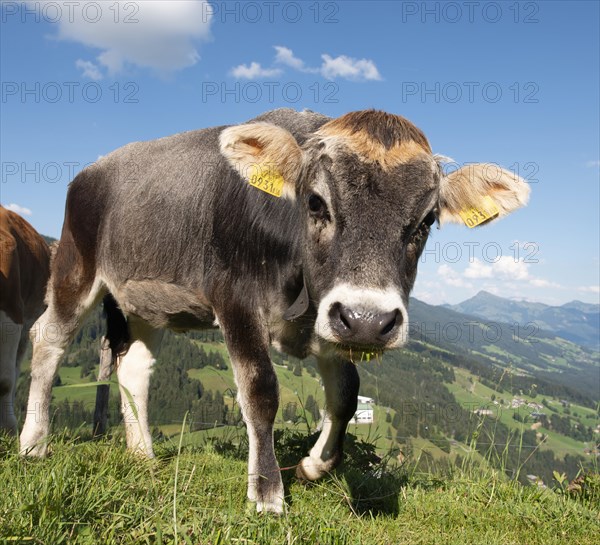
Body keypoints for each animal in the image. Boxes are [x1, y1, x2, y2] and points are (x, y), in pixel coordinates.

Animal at [18, 108, 528, 512]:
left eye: (426, 221)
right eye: (317, 203)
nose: (370, 321)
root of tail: (93, 168)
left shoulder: (329, 316)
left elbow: (346, 394)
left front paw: (313, 465)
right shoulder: (236, 300)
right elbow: (260, 391)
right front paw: (267, 493)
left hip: (146, 300)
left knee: (133, 368)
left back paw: (142, 453)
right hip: (76, 266)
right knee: (48, 340)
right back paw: (33, 443)